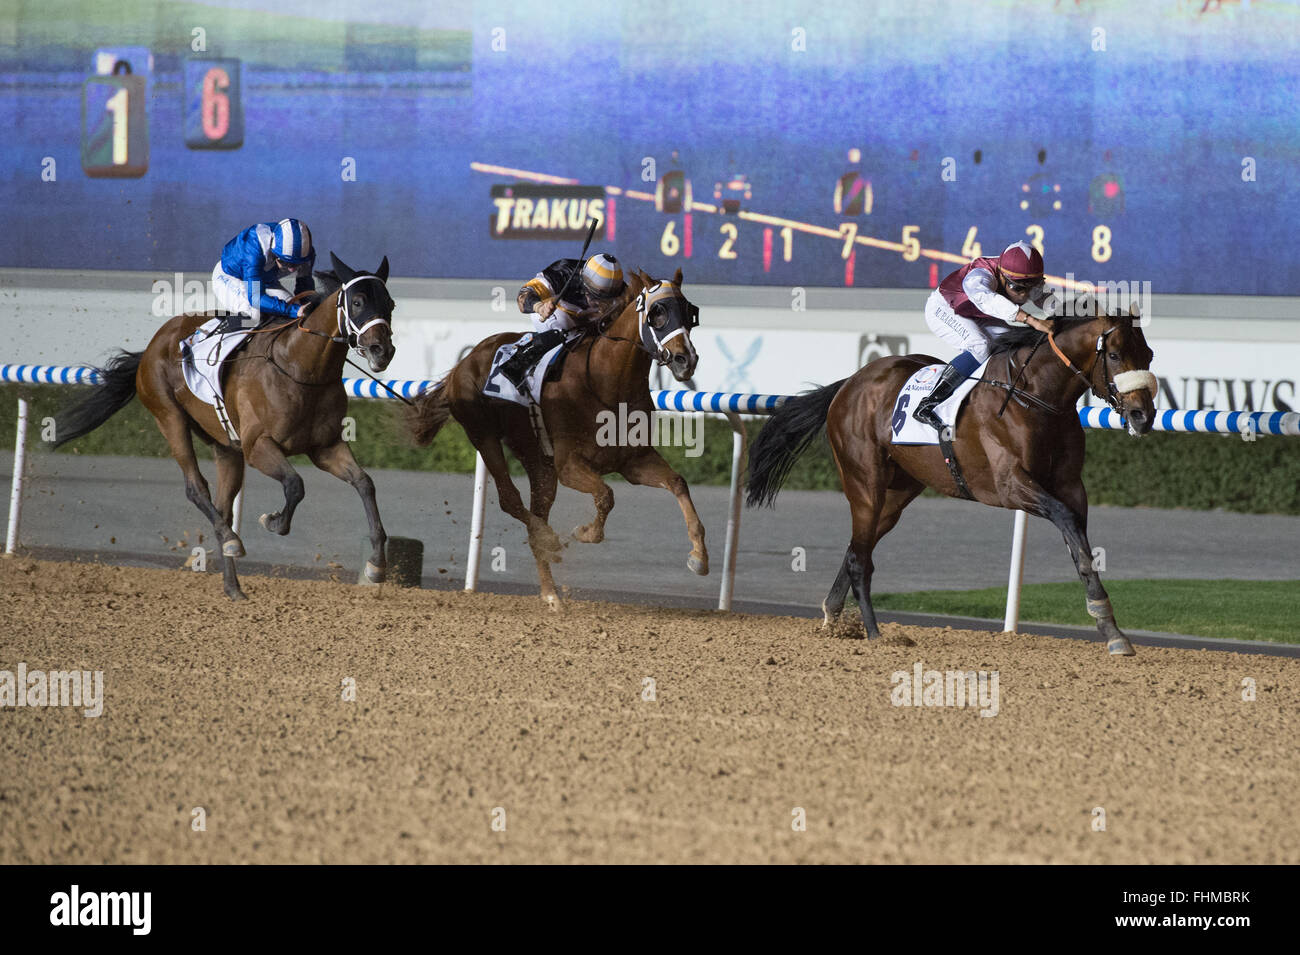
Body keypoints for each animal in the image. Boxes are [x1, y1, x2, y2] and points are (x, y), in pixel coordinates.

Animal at [52, 250, 395, 600]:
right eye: (357, 301)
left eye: (390, 304)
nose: (382, 351)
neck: (301, 368)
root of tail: (152, 346)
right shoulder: (258, 446)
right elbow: (295, 484)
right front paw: (274, 521)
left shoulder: (325, 447)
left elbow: (365, 483)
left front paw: (376, 564)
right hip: (170, 418)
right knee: (196, 488)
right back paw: (231, 541)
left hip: (226, 447)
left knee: (223, 506)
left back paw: (233, 584)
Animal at [408, 265, 707, 608]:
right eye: (657, 312)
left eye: (689, 311)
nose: (686, 359)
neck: (605, 381)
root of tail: (463, 364)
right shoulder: (570, 465)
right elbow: (606, 495)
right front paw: (584, 532)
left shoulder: (633, 461)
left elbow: (677, 483)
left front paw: (699, 557)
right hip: (484, 436)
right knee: (511, 500)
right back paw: (549, 542)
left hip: (539, 462)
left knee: (535, 510)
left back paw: (551, 593)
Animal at [754, 300, 1159, 657]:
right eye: (1114, 355)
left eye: (1149, 354)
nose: (1143, 416)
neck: (1036, 396)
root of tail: (851, 382)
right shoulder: (1009, 486)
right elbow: (1066, 521)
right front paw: (1107, 623)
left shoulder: (1072, 487)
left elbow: (1080, 547)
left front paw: (1112, 631)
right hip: (864, 481)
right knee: (859, 558)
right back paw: (874, 633)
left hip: (899, 491)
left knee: (859, 547)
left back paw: (833, 617)